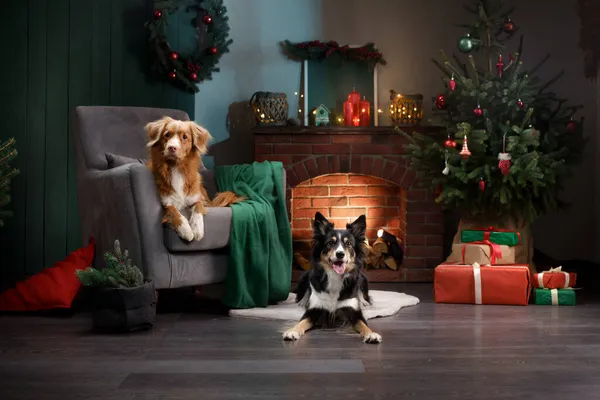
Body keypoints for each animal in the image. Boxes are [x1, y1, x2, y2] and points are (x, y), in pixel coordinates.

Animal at [284, 212, 382, 344]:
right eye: (330, 243)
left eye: (348, 244)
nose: (340, 254)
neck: (335, 275)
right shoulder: (314, 310)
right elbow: (301, 322)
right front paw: (292, 331)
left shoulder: (353, 311)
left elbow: (363, 324)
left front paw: (371, 334)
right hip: (304, 276)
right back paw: (303, 301)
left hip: (363, 279)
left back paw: (364, 301)